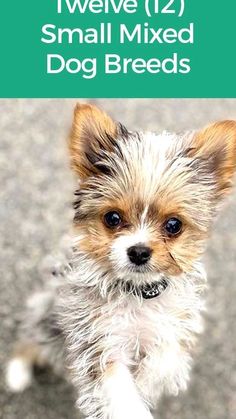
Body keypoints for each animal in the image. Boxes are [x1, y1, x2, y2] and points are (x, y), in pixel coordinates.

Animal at [5, 105, 236, 419]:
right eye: (112, 218)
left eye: (173, 225)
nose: (138, 251)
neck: (137, 294)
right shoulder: (98, 342)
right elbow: (120, 392)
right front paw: (133, 404)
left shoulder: (172, 329)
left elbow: (165, 357)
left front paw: (147, 382)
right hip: (45, 314)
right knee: (29, 338)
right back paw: (17, 372)